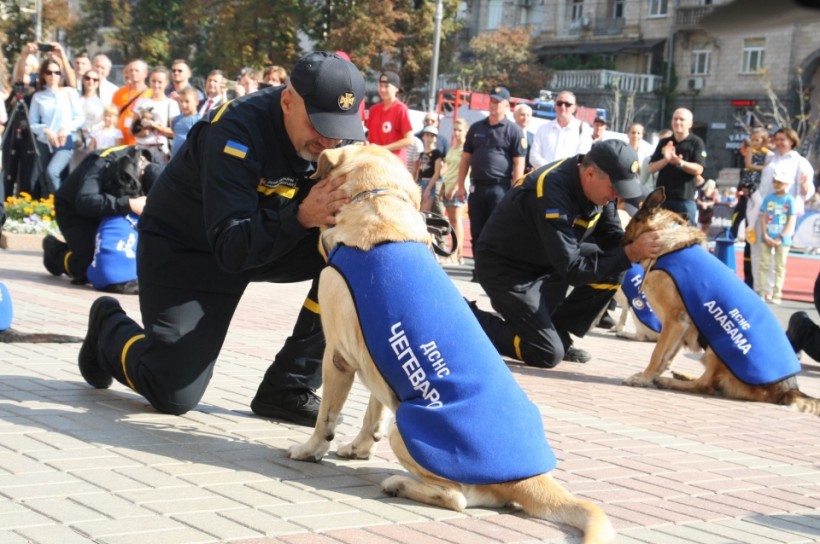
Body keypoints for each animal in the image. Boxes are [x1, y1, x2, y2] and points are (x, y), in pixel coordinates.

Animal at [288, 144, 616, 544]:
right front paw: (357, 448)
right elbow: (373, 412)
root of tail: (528, 478)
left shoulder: (337, 356)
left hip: (409, 428)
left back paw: (399, 483)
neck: (379, 201)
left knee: (457, 497)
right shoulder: (378, 357)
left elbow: (326, 418)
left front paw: (309, 450)